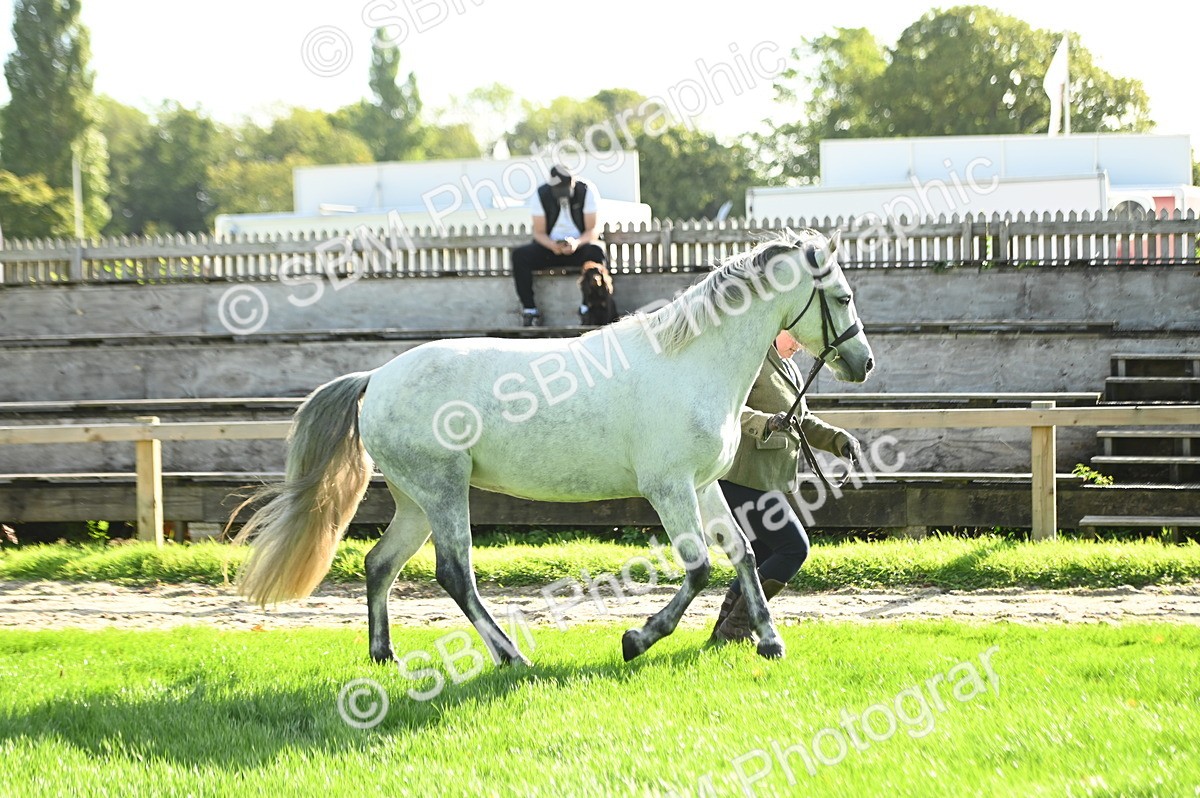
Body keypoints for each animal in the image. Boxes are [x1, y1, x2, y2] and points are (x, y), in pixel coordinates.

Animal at [231, 228, 874, 666]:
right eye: (842, 297)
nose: (863, 362)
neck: (689, 362)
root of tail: (377, 376)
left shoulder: (702, 483)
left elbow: (739, 551)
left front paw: (769, 640)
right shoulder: (667, 488)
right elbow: (698, 568)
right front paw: (636, 638)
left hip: (416, 500)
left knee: (379, 564)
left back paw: (384, 655)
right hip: (443, 491)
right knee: (454, 574)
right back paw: (510, 655)